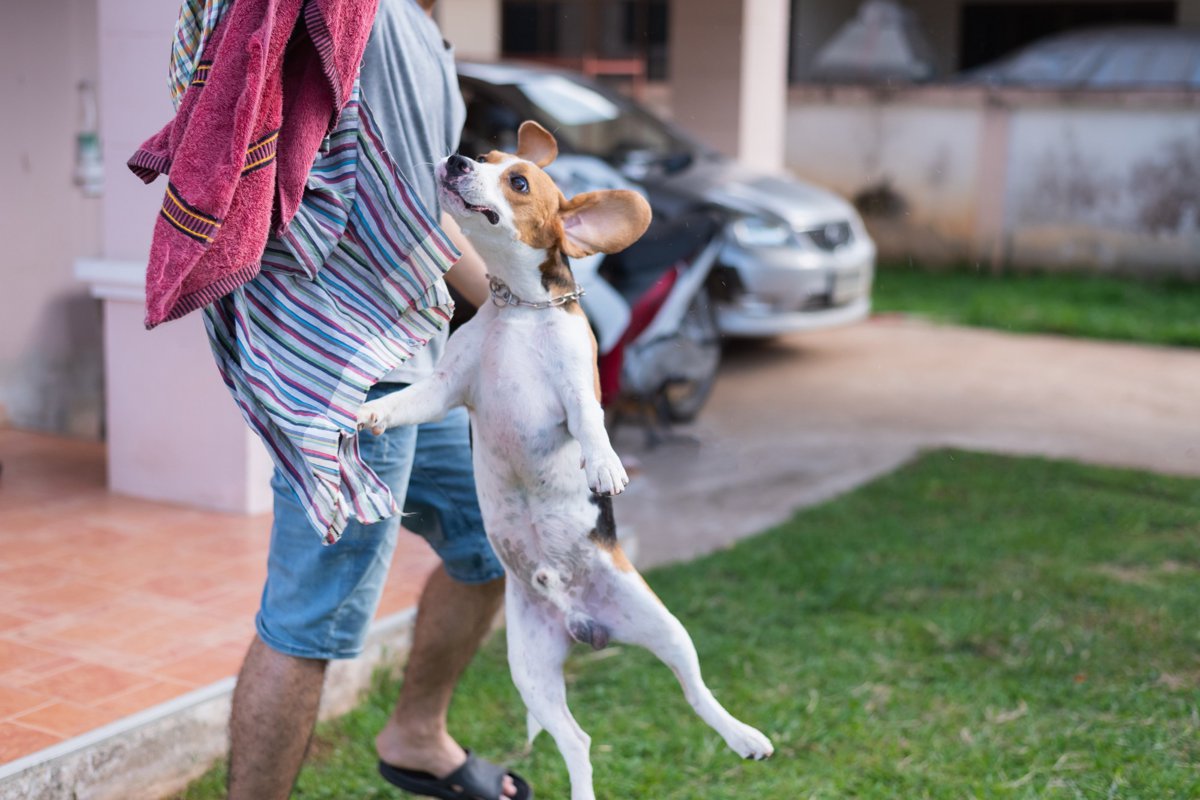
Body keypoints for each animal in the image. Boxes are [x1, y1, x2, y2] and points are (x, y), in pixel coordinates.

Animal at [355, 120, 772, 800]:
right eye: (486, 157)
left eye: (518, 182)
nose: (456, 159)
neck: (520, 312)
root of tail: (584, 623)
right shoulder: (448, 390)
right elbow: (409, 401)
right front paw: (370, 414)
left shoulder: (578, 392)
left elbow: (593, 424)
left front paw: (604, 466)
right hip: (531, 669)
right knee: (578, 742)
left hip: (665, 628)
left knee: (696, 692)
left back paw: (744, 737)